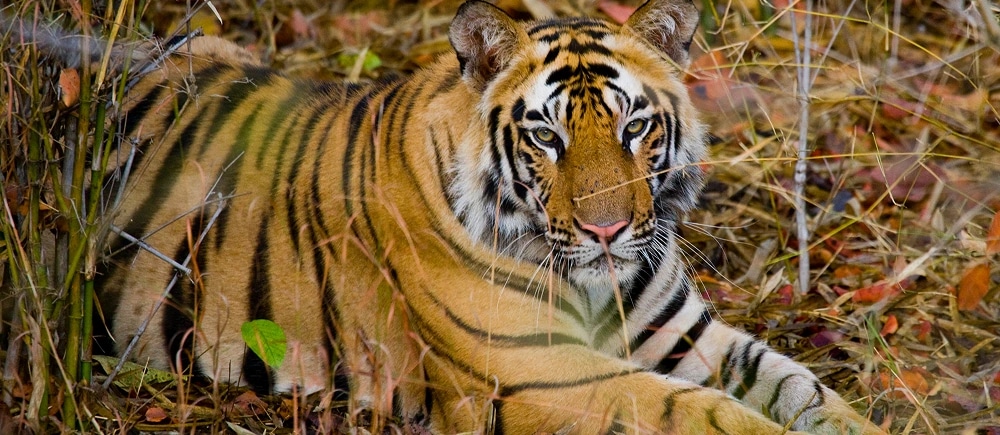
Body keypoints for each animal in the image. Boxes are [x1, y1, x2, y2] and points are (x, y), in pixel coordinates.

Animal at [26, 0, 884, 433]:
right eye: (546, 136)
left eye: (636, 126)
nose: (607, 231)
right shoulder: (540, 371)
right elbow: (701, 412)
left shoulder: (686, 335)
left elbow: (803, 389)